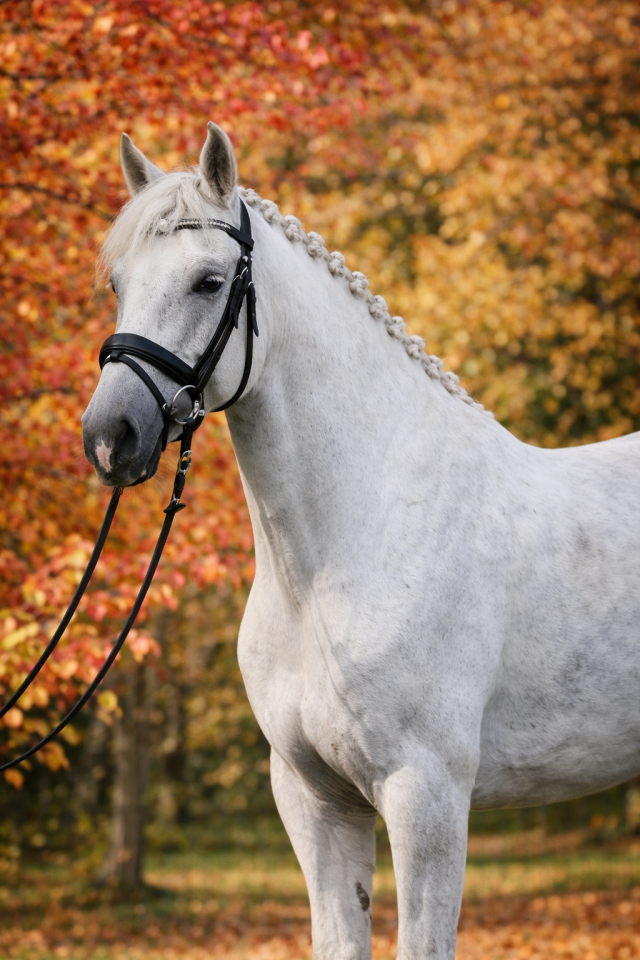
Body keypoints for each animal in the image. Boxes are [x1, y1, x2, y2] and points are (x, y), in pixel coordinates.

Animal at [82, 123, 640, 959]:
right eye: (119, 283)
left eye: (209, 283)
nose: (109, 436)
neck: (339, 559)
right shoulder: (315, 801)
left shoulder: (426, 797)